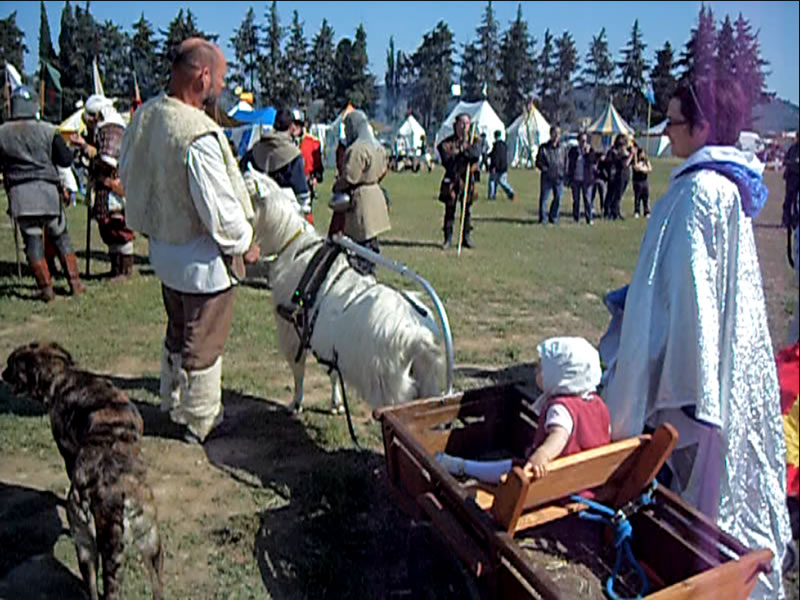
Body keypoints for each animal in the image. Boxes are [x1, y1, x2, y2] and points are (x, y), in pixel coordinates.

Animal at [2, 342, 162, 600]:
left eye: (11, 365)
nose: (1, 373)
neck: (64, 375)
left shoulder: (67, 452)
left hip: (96, 549)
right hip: (146, 546)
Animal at [247, 169, 444, 412]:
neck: (291, 245)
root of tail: (419, 338)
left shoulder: (292, 333)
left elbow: (298, 371)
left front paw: (296, 402)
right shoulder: (328, 345)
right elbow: (332, 375)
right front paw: (336, 403)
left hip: (391, 393)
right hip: (426, 383)